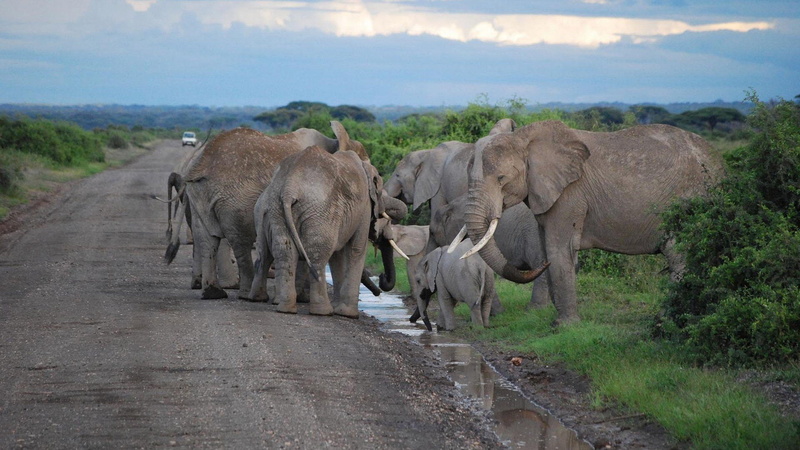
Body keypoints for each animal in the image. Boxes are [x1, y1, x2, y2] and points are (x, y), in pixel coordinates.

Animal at [248, 145, 404, 318]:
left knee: (284, 252)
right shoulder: (364, 207)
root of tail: (289, 187)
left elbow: (338, 255)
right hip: (320, 209)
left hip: (277, 207)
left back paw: (285, 308)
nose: (381, 278)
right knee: (317, 255)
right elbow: (355, 249)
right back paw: (322, 312)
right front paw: (348, 314)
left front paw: (339, 309)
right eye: (381, 194)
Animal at [460, 120, 724, 324]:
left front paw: (564, 326)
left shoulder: (570, 195)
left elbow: (558, 250)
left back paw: (666, 321)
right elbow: (547, 248)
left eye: (501, 179)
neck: (525, 138)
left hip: (694, 198)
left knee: (679, 256)